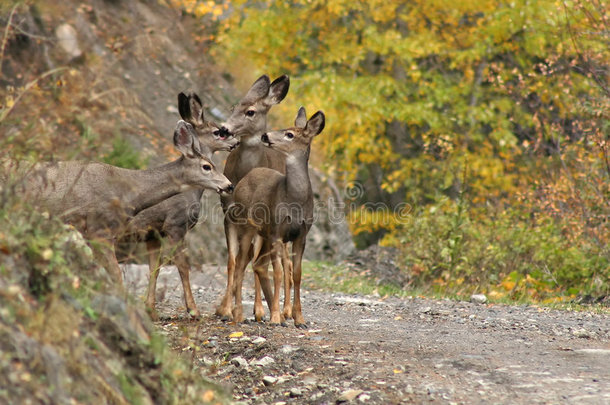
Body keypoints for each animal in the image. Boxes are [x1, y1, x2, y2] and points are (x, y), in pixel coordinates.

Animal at [120, 91, 239, 318]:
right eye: (218, 132)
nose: (236, 142)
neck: (192, 191)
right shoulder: (175, 224)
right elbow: (183, 266)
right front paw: (193, 310)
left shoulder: (153, 234)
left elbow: (155, 268)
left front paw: (150, 309)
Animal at [214, 73, 292, 322]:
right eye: (233, 107)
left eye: (251, 112)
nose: (224, 128)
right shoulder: (228, 215)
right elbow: (233, 261)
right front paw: (225, 309)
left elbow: (252, 260)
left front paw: (253, 310)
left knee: (282, 263)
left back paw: (280, 311)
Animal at [224, 105, 324, 326]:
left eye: (290, 134)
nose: (265, 135)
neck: (294, 199)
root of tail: (245, 178)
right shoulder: (278, 232)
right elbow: (278, 272)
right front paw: (277, 317)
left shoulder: (301, 235)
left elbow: (296, 274)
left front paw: (299, 318)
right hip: (247, 227)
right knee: (240, 264)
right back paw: (238, 314)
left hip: (263, 234)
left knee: (256, 264)